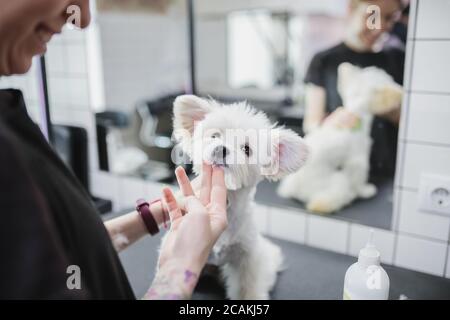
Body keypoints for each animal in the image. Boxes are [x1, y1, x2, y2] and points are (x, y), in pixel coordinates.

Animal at [170, 94, 310, 298]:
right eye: (215, 136)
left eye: (246, 149)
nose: (221, 149)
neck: (225, 202)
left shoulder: (248, 258)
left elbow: (248, 288)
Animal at [280, 62, 402, 215]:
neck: (355, 114)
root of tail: (296, 190)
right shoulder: (358, 160)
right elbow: (359, 179)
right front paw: (365, 191)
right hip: (337, 180)